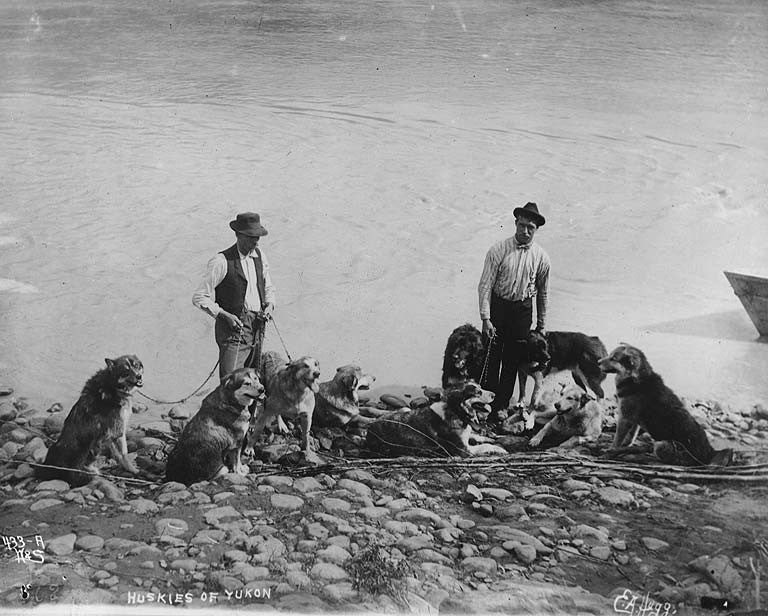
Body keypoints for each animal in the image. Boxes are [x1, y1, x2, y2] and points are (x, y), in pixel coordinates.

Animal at [36, 356, 145, 486]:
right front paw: (133, 470)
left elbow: (118, 454)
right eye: (126, 370)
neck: (112, 385)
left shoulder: (110, 434)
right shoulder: (117, 431)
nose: (139, 376)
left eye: (137, 365)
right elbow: (124, 454)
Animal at [364, 380, 508, 458]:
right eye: (478, 392)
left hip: (404, 409)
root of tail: (370, 430)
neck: (456, 411)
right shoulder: (463, 450)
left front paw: (489, 436)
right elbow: (484, 446)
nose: (495, 395)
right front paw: (500, 449)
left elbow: (476, 436)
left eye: (481, 387)